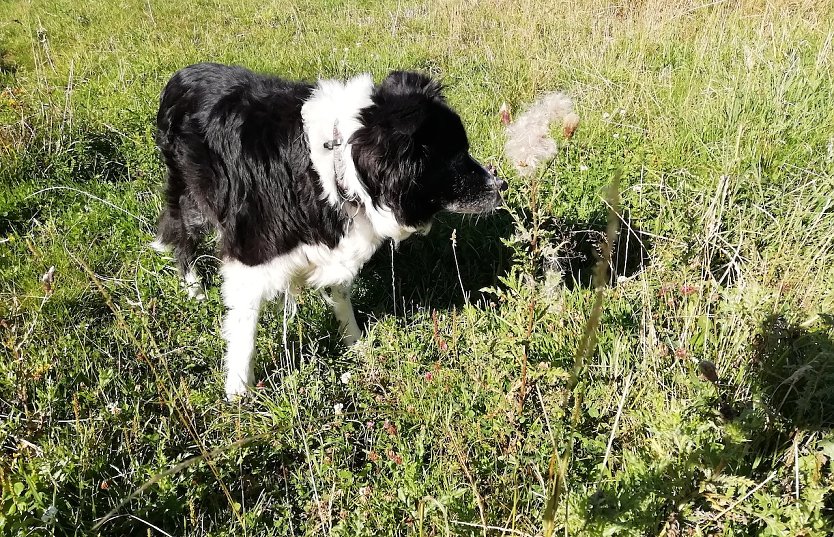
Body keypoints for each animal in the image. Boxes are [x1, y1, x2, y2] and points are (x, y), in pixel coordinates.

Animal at [150, 62, 504, 398]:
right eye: (454, 156)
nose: (502, 186)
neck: (338, 165)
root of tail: (181, 75)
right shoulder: (250, 253)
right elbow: (244, 326)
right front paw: (238, 391)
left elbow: (341, 295)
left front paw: (356, 344)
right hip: (191, 195)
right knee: (181, 236)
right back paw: (194, 288)